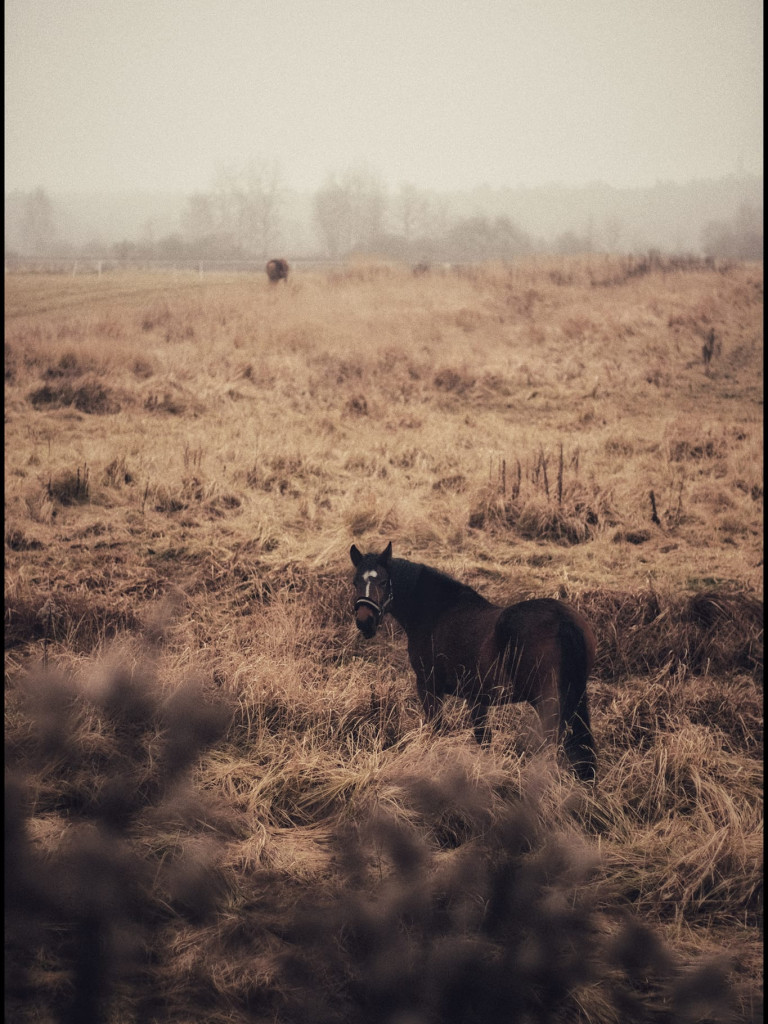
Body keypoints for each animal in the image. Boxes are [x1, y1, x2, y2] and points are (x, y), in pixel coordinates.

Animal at [352, 540, 598, 778]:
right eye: (355, 582)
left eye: (384, 581)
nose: (365, 621)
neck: (438, 612)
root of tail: (564, 620)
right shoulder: (477, 698)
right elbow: (483, 739)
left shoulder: (429, 687)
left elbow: (438, 730)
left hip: (546, 701)